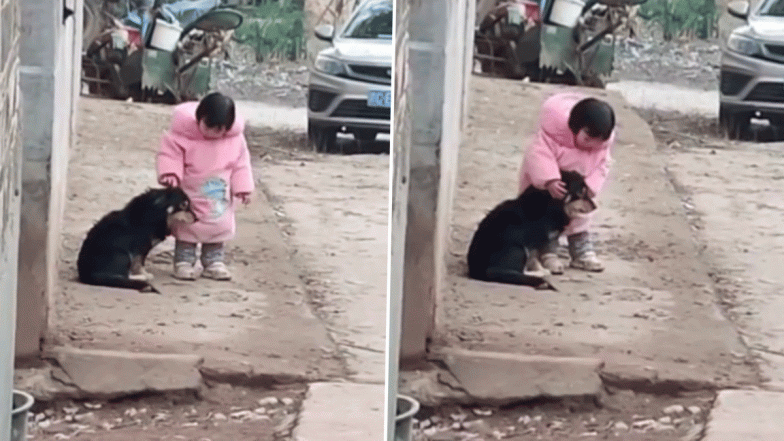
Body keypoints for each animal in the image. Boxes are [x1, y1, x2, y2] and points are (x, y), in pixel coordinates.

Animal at [466, 170, 596, 290]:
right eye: (581, 192)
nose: (595, 207)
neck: (551, 203)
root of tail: (479, 270)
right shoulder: (534, 241)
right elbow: (534, 260)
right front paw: (541, 269)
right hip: (518, 249)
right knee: (516, 272)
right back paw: (539, 274)